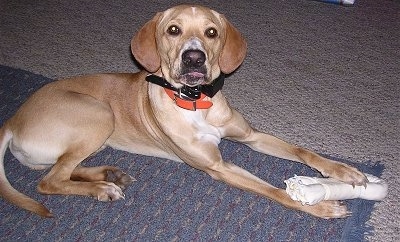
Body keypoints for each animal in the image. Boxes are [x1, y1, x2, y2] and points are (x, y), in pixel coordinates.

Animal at [0, 4, 368, 219]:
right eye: (173, 30)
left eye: (211, 32)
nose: (194, 58)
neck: (195, 101)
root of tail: (12, 121)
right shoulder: (218, 167)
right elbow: (274, 190)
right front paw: (321, 205)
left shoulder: (250, 136)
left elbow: (302, 151)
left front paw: (343, 171)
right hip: (99, 113)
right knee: (48, 182)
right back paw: (102, 188)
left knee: (61, 170)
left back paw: (108, 175)